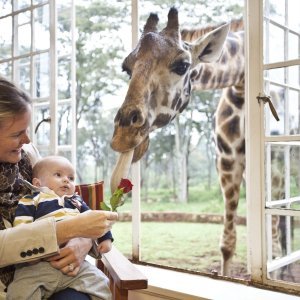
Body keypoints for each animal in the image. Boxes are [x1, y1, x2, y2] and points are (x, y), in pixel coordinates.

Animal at [110, 7, 246, 276]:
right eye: (126, 68)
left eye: (183, 65)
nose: (123, 137)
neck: (242, 79)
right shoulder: (227, 161)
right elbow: (227, 245)